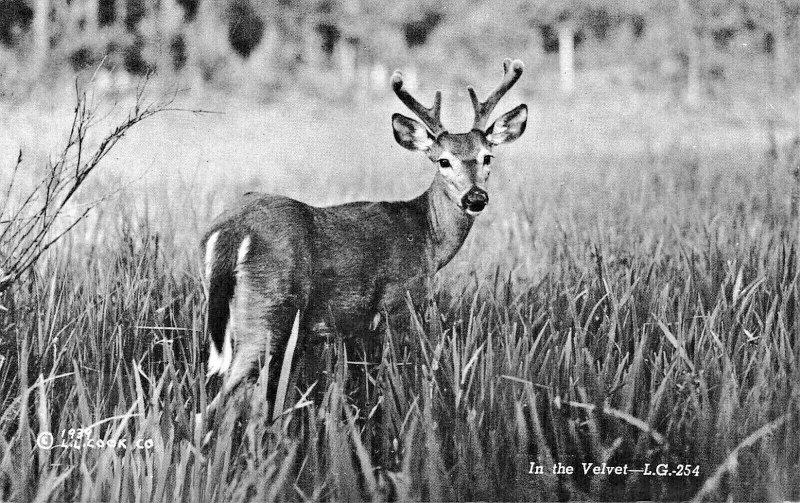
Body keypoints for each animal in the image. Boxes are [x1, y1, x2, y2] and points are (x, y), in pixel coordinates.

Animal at [198, 59, 524, 422]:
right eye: (443, 161)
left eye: (487, 157)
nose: (475, 198)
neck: (427, 238)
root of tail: (230, 230)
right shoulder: (400, 299)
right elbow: (392, 374)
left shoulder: (316, 332)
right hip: (267, 310)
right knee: (218, 404)